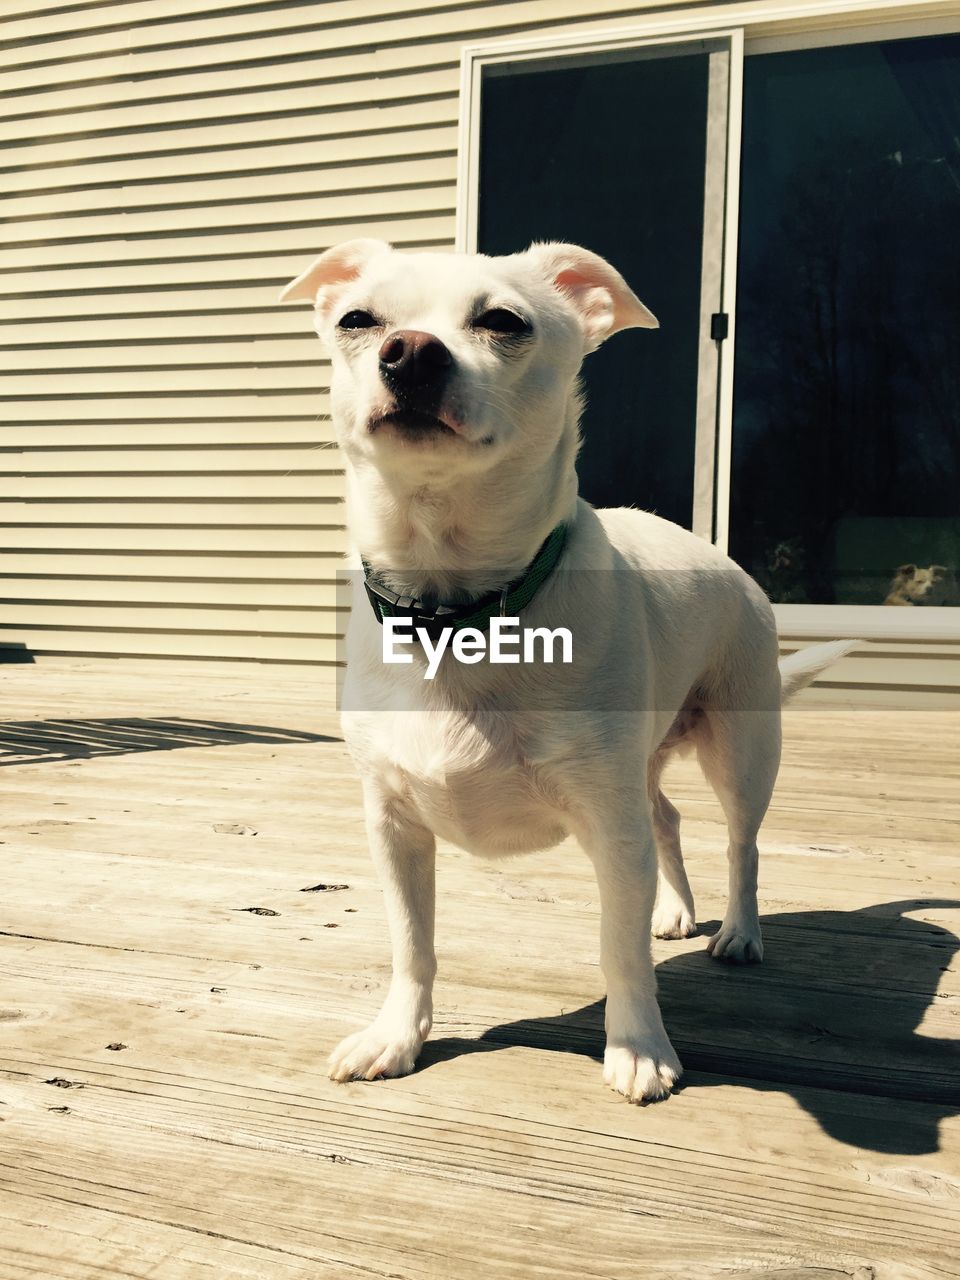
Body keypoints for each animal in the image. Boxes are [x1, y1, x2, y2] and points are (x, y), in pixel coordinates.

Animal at [281, 240, 855, 1100]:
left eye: (502, 321)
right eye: (358, 320)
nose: (410, 351)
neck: (457, 612)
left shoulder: (610, 831)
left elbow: (620, 948)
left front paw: (639, 1046)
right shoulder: (394, 826)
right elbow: (412, 944)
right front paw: (397, 1037)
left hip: (741, 752)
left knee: (741, 843)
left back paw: (739, 931)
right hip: (642, 769)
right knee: (668, 821)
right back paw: (674, 912)